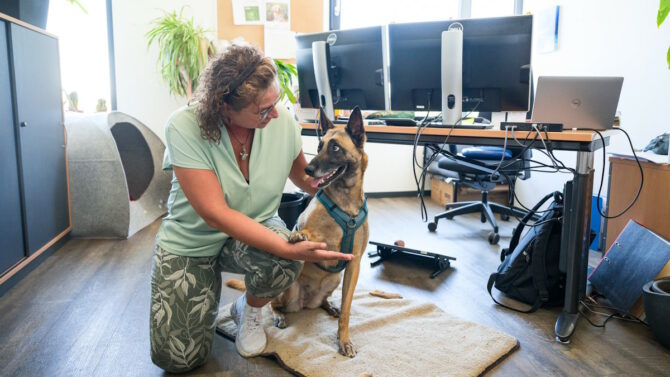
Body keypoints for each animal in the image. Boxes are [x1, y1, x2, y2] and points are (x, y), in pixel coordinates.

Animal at [270, 106, 370, 356]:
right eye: (318, 146)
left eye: (335, 147)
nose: (307, 169)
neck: (345, 203)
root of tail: (307, 302)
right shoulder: (309, 229)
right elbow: (306, 232)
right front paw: (299, 235)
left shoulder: (353, 265)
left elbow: (347, 310)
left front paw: (343, 339)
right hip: (289, 291)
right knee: (272, 304)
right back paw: (278, 315)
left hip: (335, 280)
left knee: (325, 301)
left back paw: (330, 306)